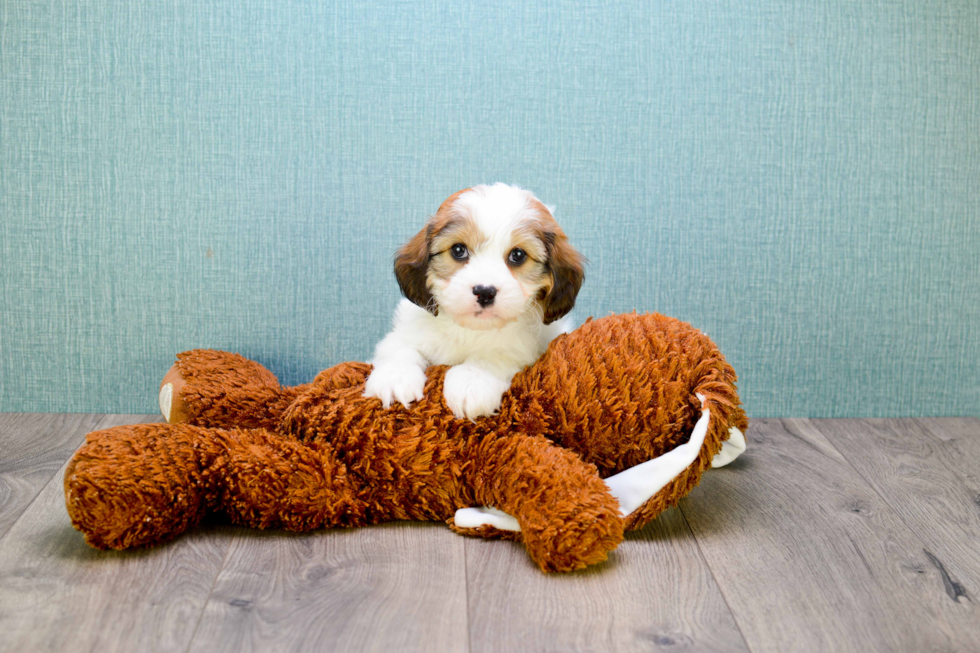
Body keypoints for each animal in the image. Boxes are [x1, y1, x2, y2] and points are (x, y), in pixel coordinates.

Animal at [366, 183, 580, 418]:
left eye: (518, 255)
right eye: (458, 250)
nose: (485, 292)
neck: (469, 330)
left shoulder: (522, 350)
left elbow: (491, 357)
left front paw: (471, 381)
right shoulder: (404, 333)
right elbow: (399, 349)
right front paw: (394, 378)